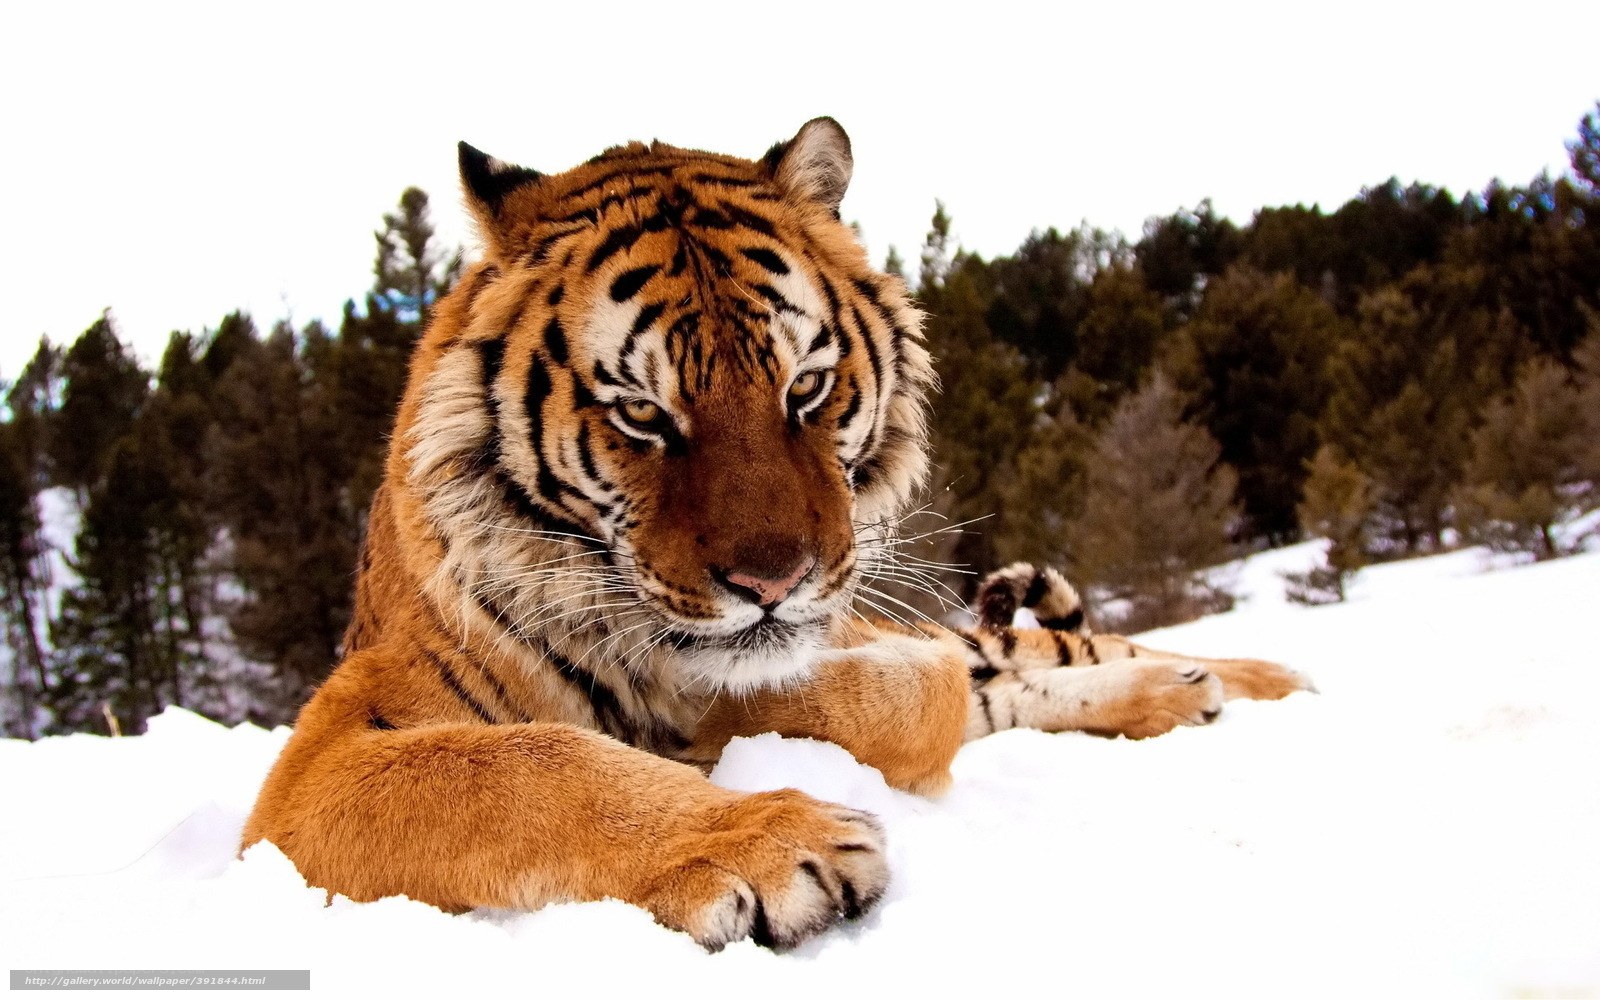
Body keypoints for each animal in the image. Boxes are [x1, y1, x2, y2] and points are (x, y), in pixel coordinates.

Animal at [241, 118, 1312, 951]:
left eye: (806, 387)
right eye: (642, 414)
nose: (773, 583)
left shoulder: (871, 641)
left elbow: (897, 692)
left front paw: (721, 729)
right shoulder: (319, 762)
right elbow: (527, 766)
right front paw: (771, 839)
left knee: (1069, 651)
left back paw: (1251, 680)